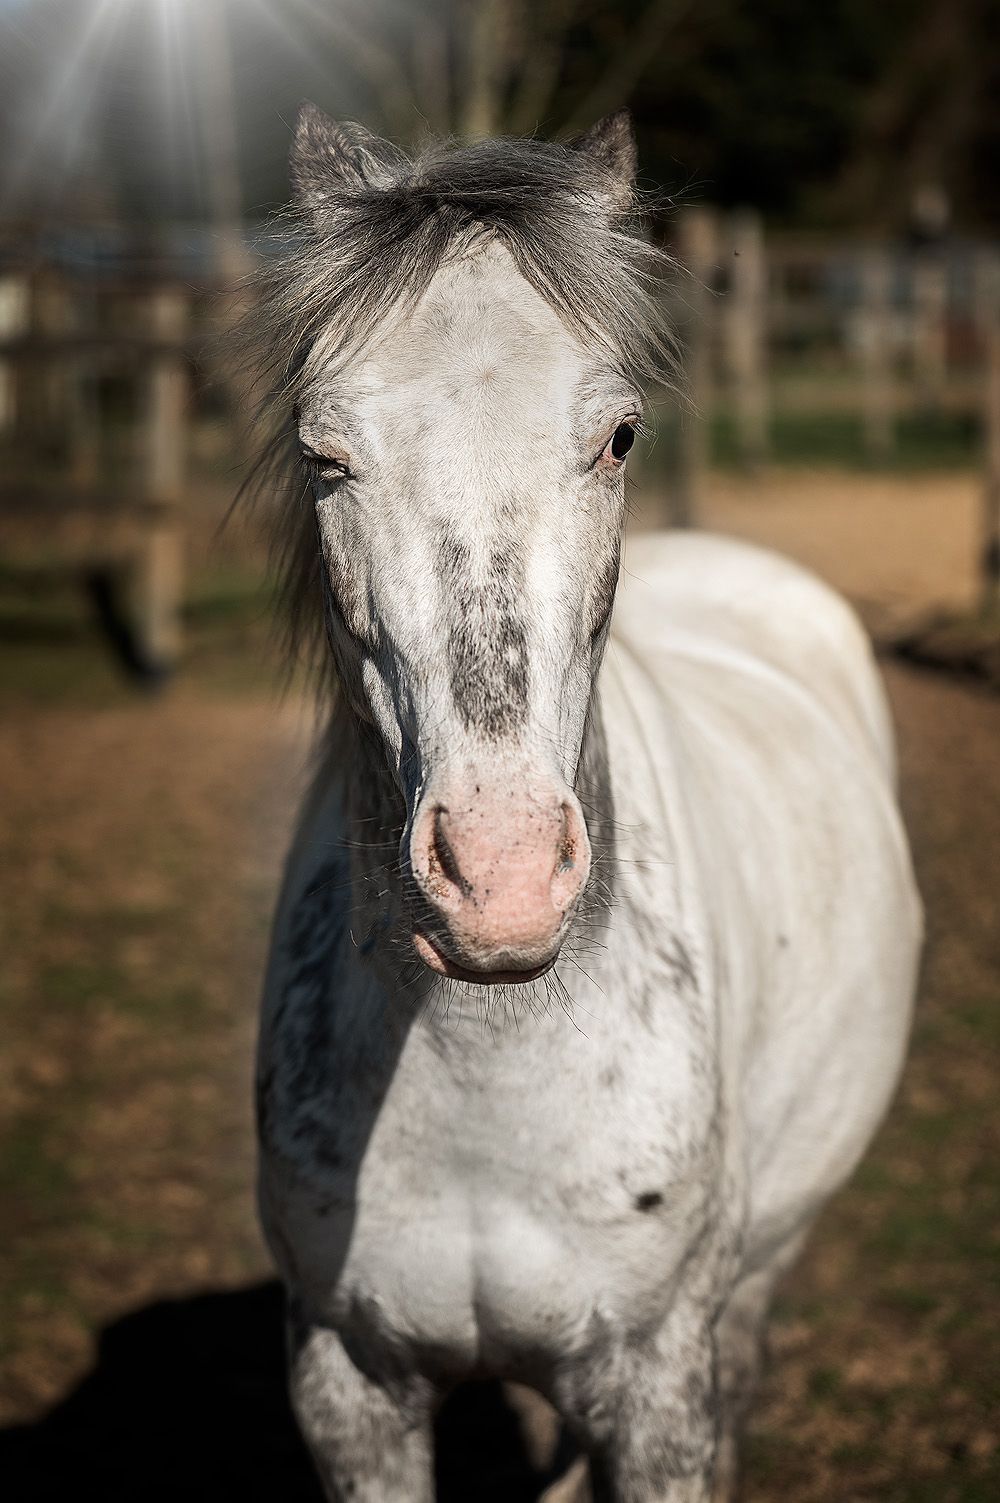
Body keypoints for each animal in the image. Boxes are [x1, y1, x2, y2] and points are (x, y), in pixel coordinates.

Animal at [251, 105, 922, 1502]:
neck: (485, 1080)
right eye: (322, 452)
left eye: (617, 436)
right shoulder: (348, 1388)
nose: (499, 876)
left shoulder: (660, 1392)